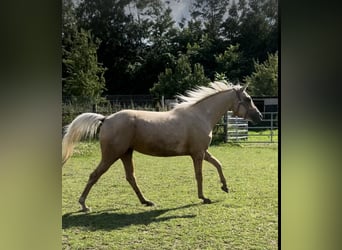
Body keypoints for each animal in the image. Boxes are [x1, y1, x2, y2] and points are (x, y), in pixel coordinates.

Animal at [62, 80, 264, 211]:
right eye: (247, 99)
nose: (259, 116)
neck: (201, 115)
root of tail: (106, 119)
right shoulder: (197, 154)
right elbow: (199, 175)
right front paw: (204, 197)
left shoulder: (203, 152)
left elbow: (218, 164)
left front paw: (225, 187)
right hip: (111, 155)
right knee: (94, 175)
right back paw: (83, 204)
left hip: (126, 154)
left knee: (131, 177)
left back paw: (146, 202)